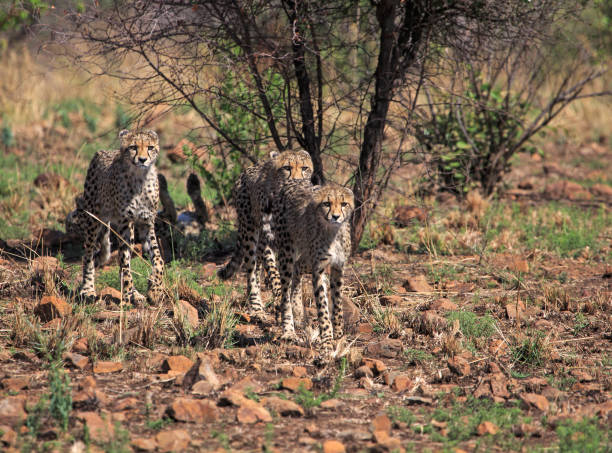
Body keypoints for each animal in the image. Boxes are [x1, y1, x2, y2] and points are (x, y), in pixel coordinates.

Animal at [67, 130, 165, 304]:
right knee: (88, 255)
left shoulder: (146, 223)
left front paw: (155, 290)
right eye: (133, 147)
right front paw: (126, 296)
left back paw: (135, 293)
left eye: (150, 147)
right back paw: (88, 289)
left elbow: (158, 259)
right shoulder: (125, 223)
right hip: (93, 219)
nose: (142, 159)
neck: (140, 178)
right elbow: (125, 263)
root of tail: (102, 152)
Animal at [218, 148, 314, 314]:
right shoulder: (270, 237)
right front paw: (281, 297)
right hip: (250, 230)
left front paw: (296, 306)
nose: (297, 181)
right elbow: (275, 271)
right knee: (251, 267)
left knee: (256, 267)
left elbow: (296, 274)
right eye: (287, 168)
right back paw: (256, 306)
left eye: (304, 168)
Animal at [272, 178, 354, 354]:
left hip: (306, 259)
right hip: (287, 252)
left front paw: (338, 334)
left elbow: (337, 303)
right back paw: (289, 329)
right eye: (326, 203)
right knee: (285, 291)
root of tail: (293, 181)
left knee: (297, 268)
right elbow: (323, 306)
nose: (336, 216)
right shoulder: (318, 268)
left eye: (344, 203)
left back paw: (297, 311)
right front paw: (327, 340)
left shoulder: (338, 267)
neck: (333, 232)